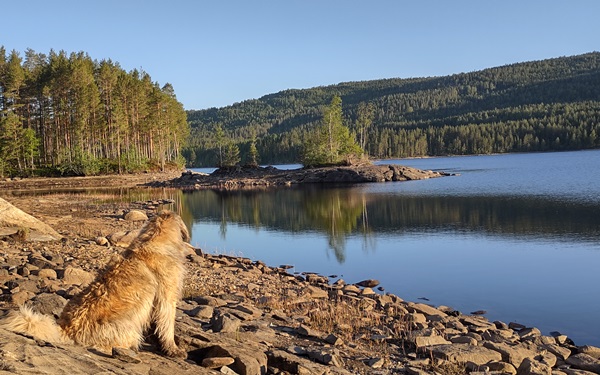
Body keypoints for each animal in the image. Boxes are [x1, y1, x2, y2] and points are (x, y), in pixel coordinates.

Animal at [0, 210, 191, 360]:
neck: (156, 237)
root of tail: (66, 329)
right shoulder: (167, 297)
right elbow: (166, 324)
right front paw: (173, 349)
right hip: (127, 327)